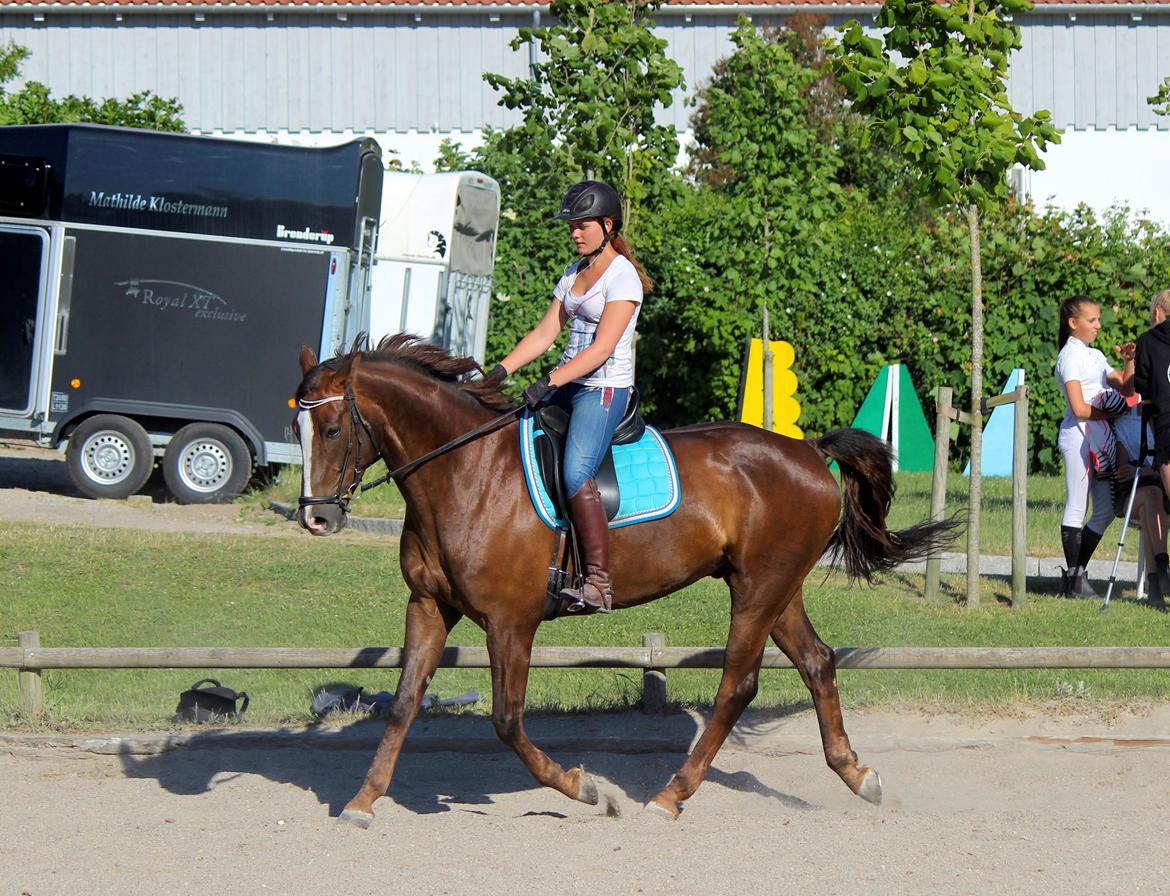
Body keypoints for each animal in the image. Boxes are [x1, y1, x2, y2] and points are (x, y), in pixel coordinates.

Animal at [297, 334, 954, 828]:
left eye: (331, 429)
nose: (316, 516)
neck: (465, 472)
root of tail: (811, 453)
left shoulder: (511, 622)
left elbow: (507, 721)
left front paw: (586, 789)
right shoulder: (429, 605)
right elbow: (405, 701)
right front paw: (362, 801)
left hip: (757, 590)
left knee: (737, 687)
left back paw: (670, 795)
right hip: (777, 588)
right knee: (817, 662)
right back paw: (857, 776)